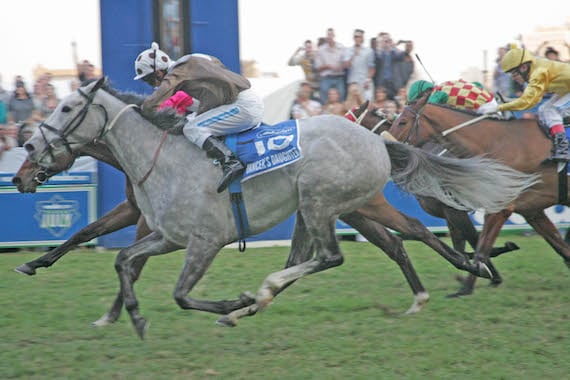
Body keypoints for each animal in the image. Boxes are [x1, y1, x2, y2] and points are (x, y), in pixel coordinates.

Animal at [22, 78, 536, 338]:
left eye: (66, 109)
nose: (26, 150)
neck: (161, 159)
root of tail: (378, 137)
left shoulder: (203, 242)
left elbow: (181, 294)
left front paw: (234, 301)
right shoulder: (166, 236)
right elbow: (125, 262)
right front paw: (131, 314)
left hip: (322, 201)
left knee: (335, 254)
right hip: (328, 209)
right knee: (387, 240)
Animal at [386, 92, 568, 296]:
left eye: (402, 122)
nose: (386, 146)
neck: (498, 143)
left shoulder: (492, 208)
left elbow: (479, 246)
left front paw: (469, 285)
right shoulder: (531, 211)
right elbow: (561, 247)